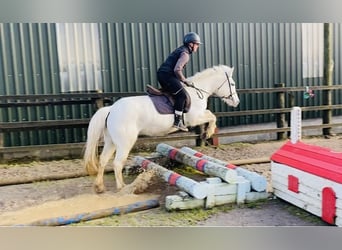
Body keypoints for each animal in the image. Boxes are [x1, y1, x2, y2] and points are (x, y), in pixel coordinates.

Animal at [84, 65, 240, 193]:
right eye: (232, 84)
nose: (236, 102)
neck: (197, 92)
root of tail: (111, 109)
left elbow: (211, 115)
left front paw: (207, 133)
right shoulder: (195, 118)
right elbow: (212, 116)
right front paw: (209, 132)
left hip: (111, 141)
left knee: (103, 160)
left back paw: (99, 187)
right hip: (124, 142)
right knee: (117, 163)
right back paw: (124, 188)